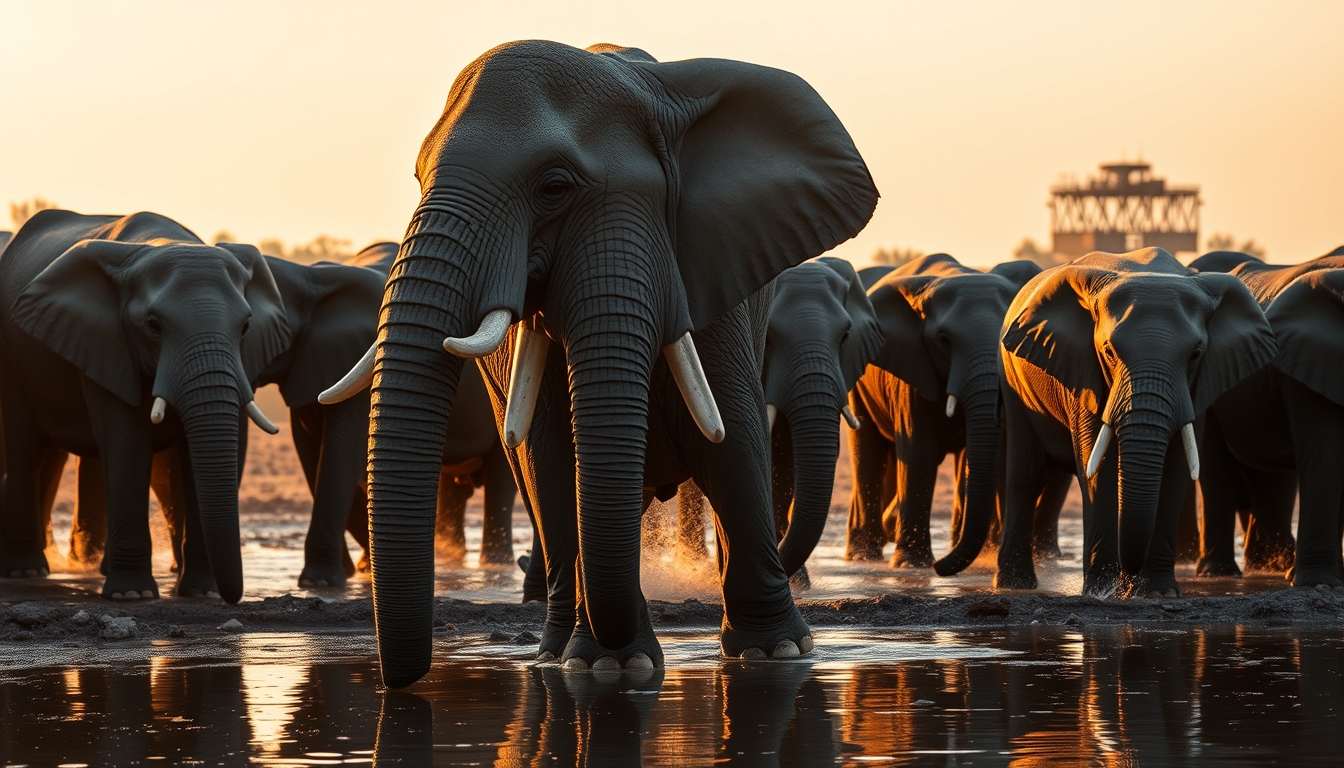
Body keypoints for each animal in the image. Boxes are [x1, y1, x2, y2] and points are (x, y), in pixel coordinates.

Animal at [0, 210, 288, 601]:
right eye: (153, 326)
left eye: (245, 327)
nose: (233, 597)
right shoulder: (107, 341)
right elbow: (127, 442)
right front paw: (132, 596)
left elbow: (226, 446)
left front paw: (203, 593)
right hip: (11, 357)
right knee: (24, 446)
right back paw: (25, 571)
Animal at [319, 40, 878, 686]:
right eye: (418, 179)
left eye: (554, 188)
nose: (400, 681)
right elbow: (555, 458)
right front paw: (610, 664)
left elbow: (731, 441)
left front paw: (779, 653)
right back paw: (555, 653)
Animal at [845, 254, 1057, 574]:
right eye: (944, 341)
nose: (940, 568)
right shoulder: (913, 365)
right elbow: (918, 449)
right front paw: (912, 565)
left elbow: (996, 454)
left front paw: (986, 557)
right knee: (867, 448)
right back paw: (862, 556)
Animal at [994, 247, 1276, 597]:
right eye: (1108, 351)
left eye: (1196, 354)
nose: (1128, 576)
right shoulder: (1084, 370)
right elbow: (1098, 468)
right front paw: (1101, 592)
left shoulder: (1197, 386)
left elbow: (1176, 468)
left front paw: (1155, 592)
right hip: (1010, 380)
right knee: (1026, 475)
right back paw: (1014, 585)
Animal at [1193, 249, 1344, 587]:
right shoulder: (1310, 365)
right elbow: (1327, 456)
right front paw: (1318, 583)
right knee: (1214, 466)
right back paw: (1220, 573)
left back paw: (1272, 567)